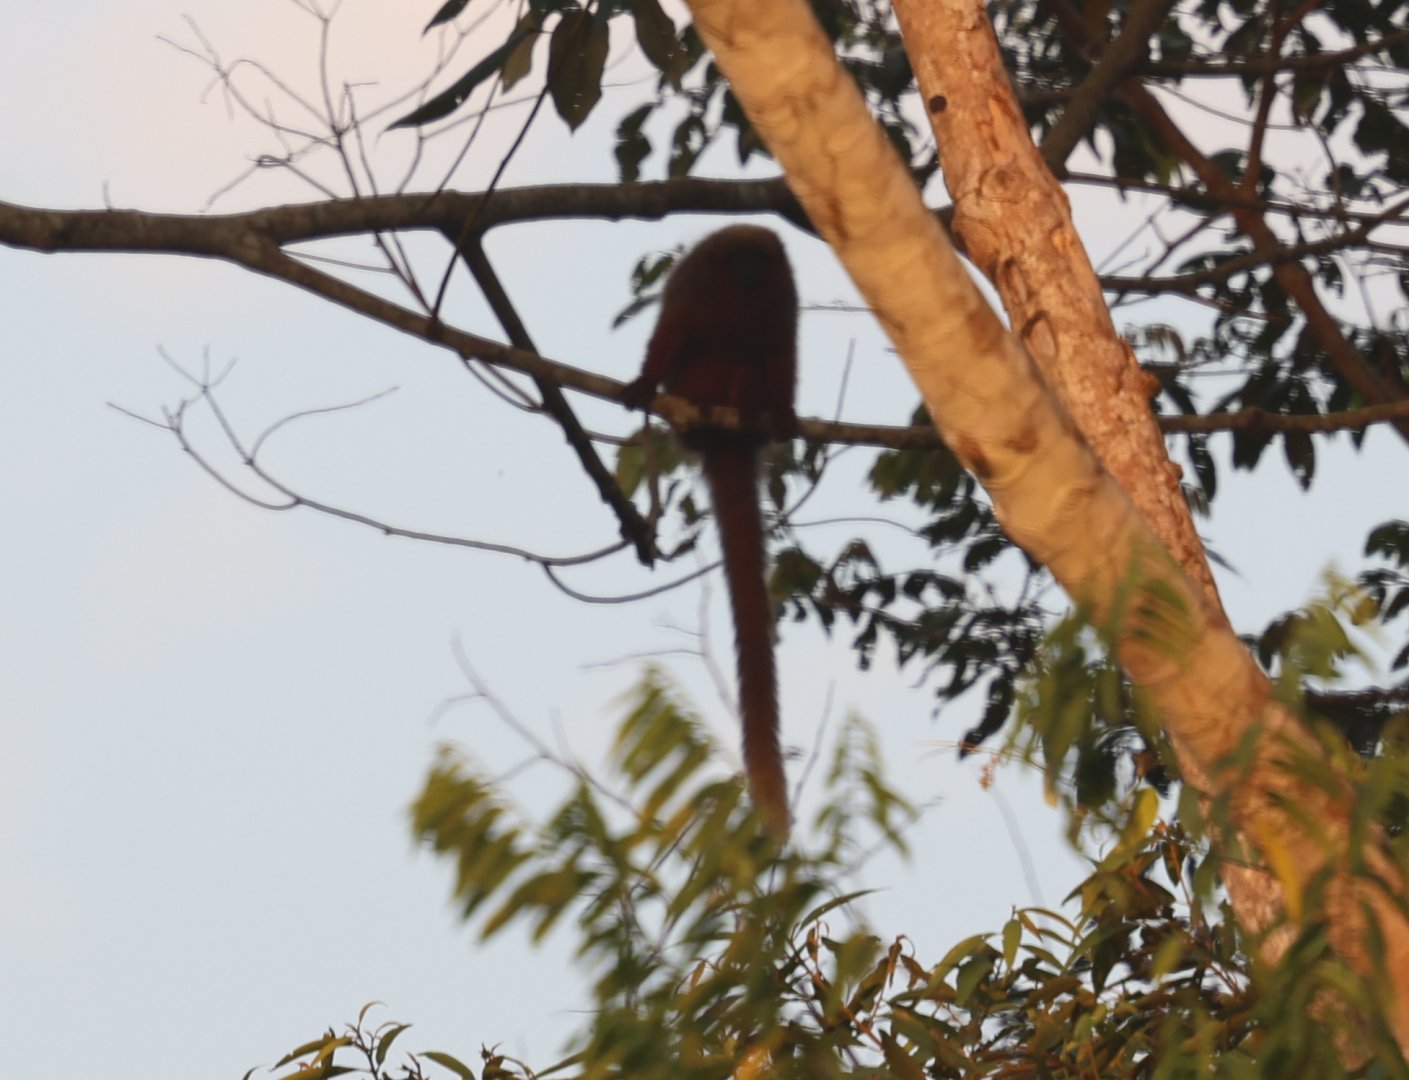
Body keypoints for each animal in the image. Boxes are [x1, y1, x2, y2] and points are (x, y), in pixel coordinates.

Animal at [623, 225, 799, 838]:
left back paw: (745, 412)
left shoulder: (782, 293)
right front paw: (644, 380)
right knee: (703, 355)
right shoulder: (696, 284)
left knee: (749, 360)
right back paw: (699, 411)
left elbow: (780, 351)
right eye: (739, 260)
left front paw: (783, 411)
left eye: (757, 261)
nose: (749, 272)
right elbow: (674, 330)